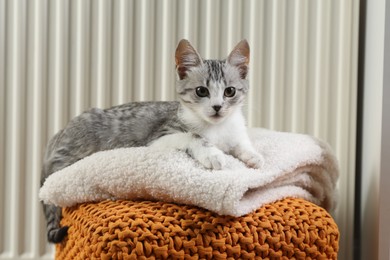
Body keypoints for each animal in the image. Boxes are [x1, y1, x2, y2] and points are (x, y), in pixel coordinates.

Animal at [41, 39, 264, 244]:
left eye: (230, 91)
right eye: (201, 91)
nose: (217, 107)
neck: (217, 128)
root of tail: (57, 136)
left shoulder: (235, 132)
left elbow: (241, 144)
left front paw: (254, 156)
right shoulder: (160, 137)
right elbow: (193, 136)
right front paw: (213, 154)